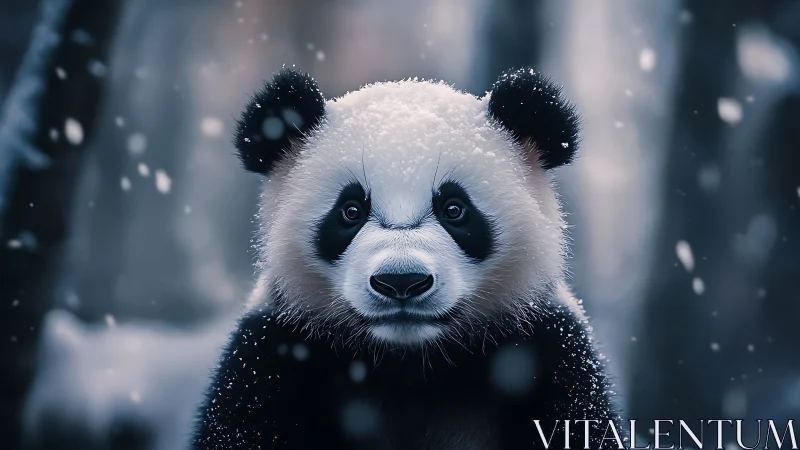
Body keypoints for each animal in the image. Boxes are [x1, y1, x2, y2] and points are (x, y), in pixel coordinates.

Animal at [192, 67, 623, 450]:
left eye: (454, 209)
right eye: (350, 211)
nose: (401, 281)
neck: (408, 363)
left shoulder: (547, 351)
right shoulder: (273, 352)